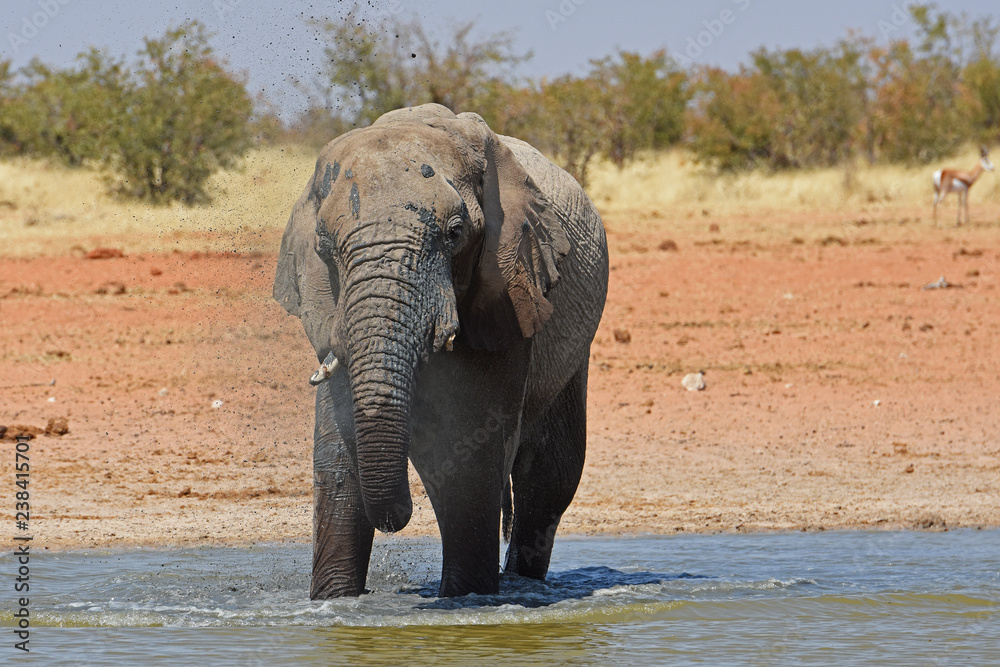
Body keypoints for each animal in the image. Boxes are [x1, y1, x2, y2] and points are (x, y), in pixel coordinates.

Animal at [273, 103, 609, 598]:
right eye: (324, 246)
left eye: (454, 234)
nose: (396, 519)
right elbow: (337, 457)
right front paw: (334, 600)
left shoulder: (508, 289)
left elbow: (469, 454)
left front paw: (466, 598)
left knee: (547, 476)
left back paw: (520, 584)